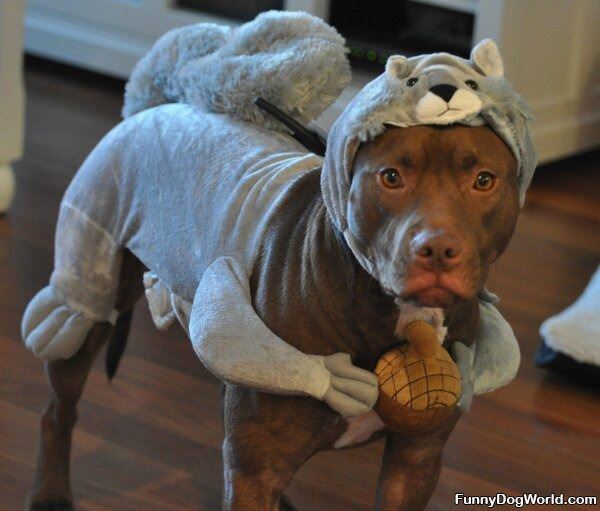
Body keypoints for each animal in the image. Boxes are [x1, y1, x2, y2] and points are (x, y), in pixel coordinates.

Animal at [25, 125, 516, 511]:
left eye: (483, 180)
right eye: (391, 177)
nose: (437, 248)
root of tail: (148, 111)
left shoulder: (414, 462)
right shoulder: (256, 469)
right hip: (90, 284)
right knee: (57, 407)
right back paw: (50, 494)